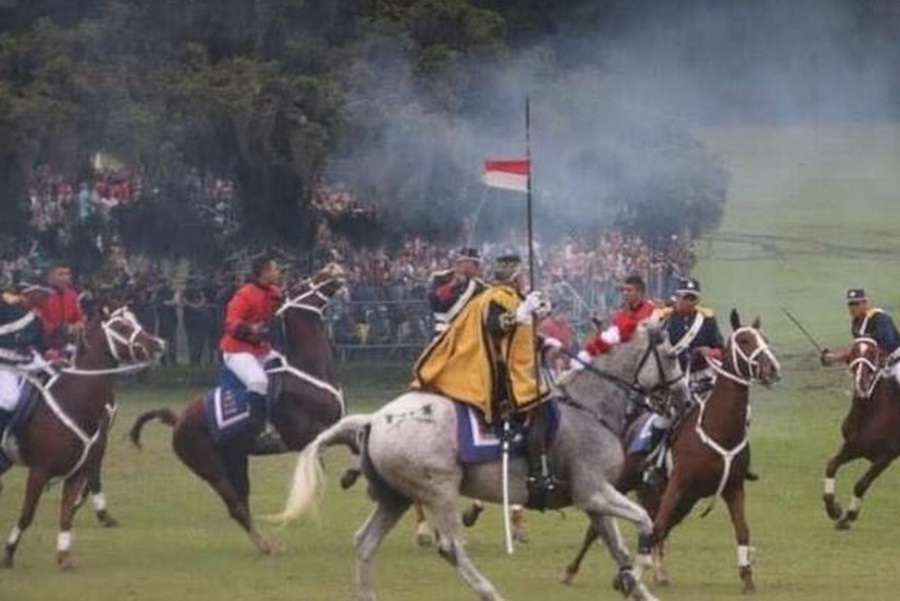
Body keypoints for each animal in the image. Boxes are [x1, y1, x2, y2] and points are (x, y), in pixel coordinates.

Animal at [1, 302, 163, 568]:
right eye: (121, 326)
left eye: (136, 320)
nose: (157, 344)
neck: (75, 398)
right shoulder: (39, 471)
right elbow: (27, 514)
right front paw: (9, 552)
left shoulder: (77, 469)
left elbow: (66, 515)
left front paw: (64, 555)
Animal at [128, 264, 346, 556]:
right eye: (302, 286)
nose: (333, 268)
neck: (308, 372)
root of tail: (179, 421)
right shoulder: (306, 437)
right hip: (212, 468)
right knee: (236, 507)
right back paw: (267, 547)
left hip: (236, 459)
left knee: (242, 503)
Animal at [270, 322, 684, 600]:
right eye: (672, 357)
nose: (684, 395)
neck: (589, 407)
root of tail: (373, 419)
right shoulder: (594, 492)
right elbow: (645, 522)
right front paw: (640, 570)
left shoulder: (595, 501)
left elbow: (619, 548)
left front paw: (636, 585)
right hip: (440, 491)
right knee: (451, 547)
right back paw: (489, 591)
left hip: (395, 497)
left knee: (365, 543)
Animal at [824, 338, 900, 528]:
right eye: (853, 352)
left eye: (873, 353)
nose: (861, 383)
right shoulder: (854, 446)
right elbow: (831, 465)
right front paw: (834, 509)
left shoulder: (886, 456)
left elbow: (861, 483)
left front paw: (849, 516)